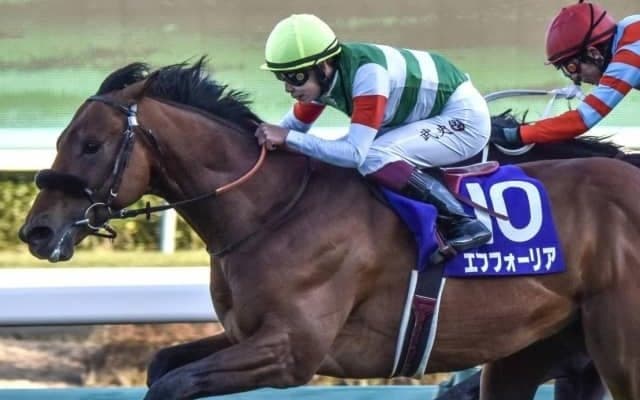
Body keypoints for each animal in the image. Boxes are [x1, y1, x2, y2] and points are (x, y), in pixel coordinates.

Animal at [18, 59, 640, 400]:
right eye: (61, 139)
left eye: (90, 145)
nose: (36, 232)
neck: (270, 210)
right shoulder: (248, 335)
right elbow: (161, 368)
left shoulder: (293, 350)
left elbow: (173, 383)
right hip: (536, 351)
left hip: (616, 347)